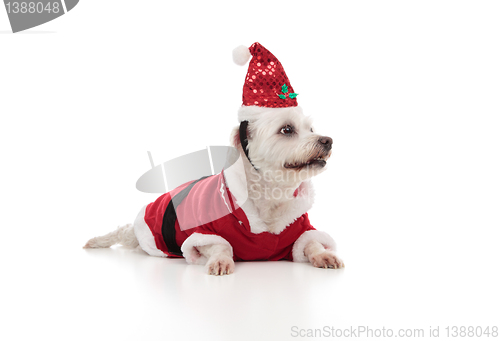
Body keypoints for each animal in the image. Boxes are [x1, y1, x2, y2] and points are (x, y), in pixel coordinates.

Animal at [85, 43, 344, 276]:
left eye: (311, 129)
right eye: (287, 129)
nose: (328, 140)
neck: (270, 196)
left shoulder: (301, 230)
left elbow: (311, 242)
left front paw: (324, 254)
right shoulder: (203, 233)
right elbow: (221, 246)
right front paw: (221, 260)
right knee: (126, 233)